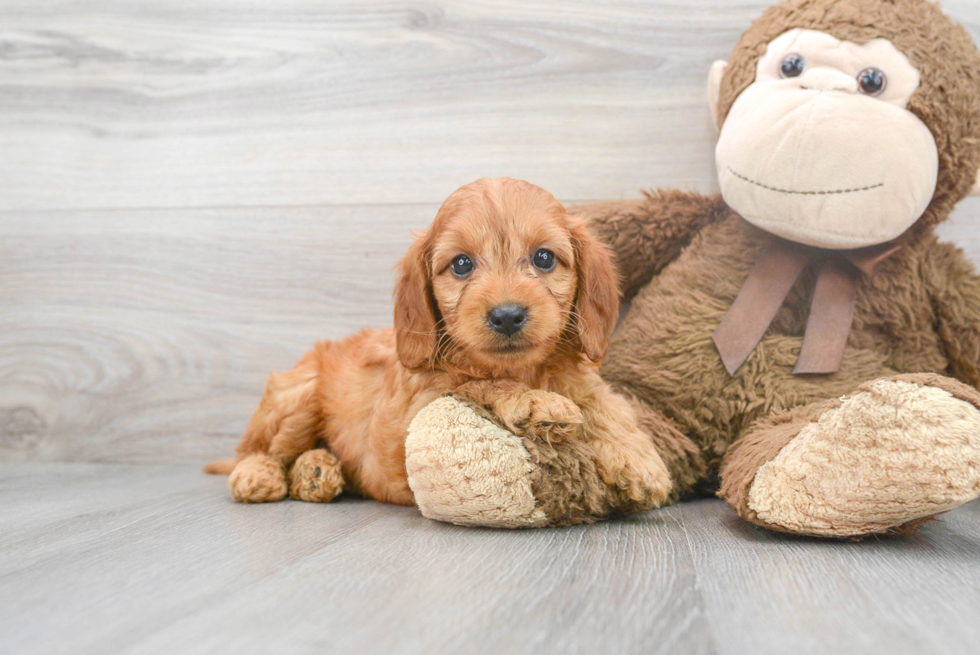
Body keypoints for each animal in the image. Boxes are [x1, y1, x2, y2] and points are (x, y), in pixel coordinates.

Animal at [203, 178, 668, 508]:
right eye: (461, 264)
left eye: (544, 258)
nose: (507, 315)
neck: (524, 368)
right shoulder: (412, 415)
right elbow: (474, 384)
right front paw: (536, 403)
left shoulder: (583, 380)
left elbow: (607, 404)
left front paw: (639, 460)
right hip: (296, 394)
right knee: (258, 450)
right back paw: (260, 475)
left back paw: (316, 472)